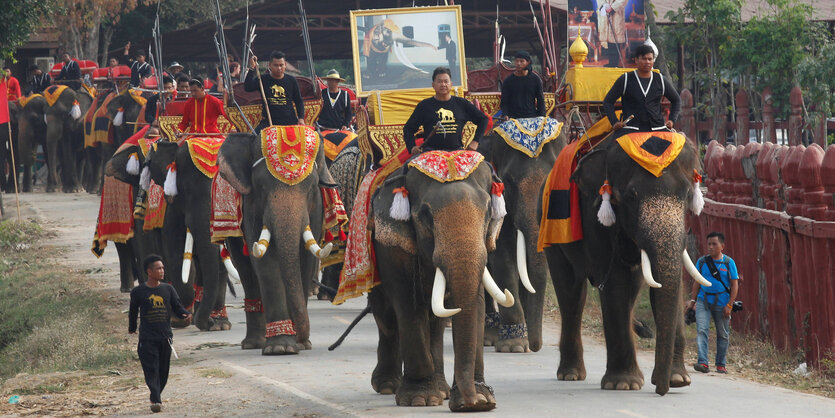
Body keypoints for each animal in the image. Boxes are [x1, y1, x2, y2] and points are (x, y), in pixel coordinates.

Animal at [219, 128, 340, 356]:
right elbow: (266, 264)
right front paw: (280, 347)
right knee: (246, 271)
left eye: (311, 187)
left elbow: (305, 259)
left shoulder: (316, 208)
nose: (303, 338)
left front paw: (299, 345)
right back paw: (254, 343)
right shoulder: (251, 205)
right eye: (260, 186)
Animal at [370, 151, 510, 412]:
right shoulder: (393, 248)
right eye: (425, 215)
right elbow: (408, 304)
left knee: (434, 323)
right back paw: (387, 386)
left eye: (488, 211)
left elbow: (474, 303)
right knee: (386, 315)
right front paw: (419, 399)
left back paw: (442, 390)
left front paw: (482, 400)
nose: (469, 404)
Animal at [544, 134, 712, 396]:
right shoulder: (593, 217)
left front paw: (678, 380)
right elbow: (615, 283)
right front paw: (623, 384)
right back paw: (571, 374)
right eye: (631, 197)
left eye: (686, 195)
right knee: (571, 295)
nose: (660, 390)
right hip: (553, 233)